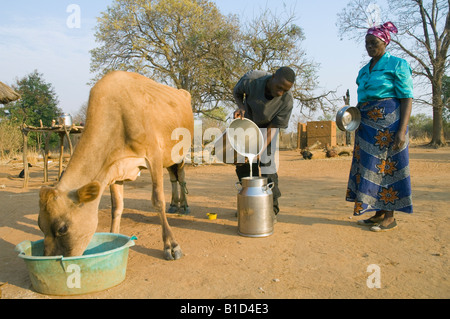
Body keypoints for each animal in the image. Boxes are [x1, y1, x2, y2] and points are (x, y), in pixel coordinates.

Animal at [38, 71, 193, 262]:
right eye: (40, 225)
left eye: (62, 229)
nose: (48, 259)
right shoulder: (113, 169)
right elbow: (116, 207)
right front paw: (114, 239)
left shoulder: (154, 156)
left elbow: (157, 200)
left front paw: (171, 245)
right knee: (173, 177)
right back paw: (174, 205)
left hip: (180, 153)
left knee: (181, 177)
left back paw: (184, 207)